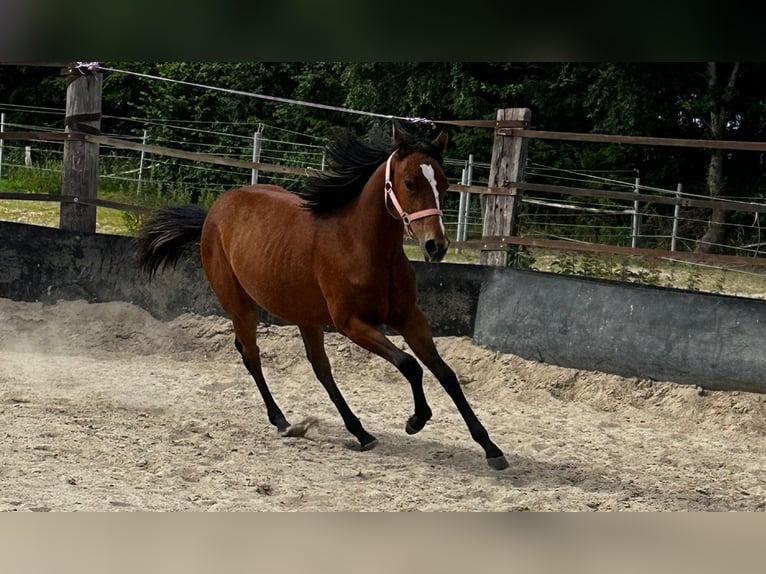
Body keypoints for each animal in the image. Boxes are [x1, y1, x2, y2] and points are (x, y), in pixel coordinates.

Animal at [135, 124, 508, 470]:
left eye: (443, 184)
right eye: (409, 183)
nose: (436, 246)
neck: (363, 245)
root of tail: (215, 211)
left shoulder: (409, 317)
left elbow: (446, 375)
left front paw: (491, 448)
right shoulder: (351, 323)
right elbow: (409, 365)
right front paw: (415, 420)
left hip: (306, 316)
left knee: (320, 367)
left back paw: (361, 432)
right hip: (240, 305)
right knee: (251, 355)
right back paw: (282, 421)